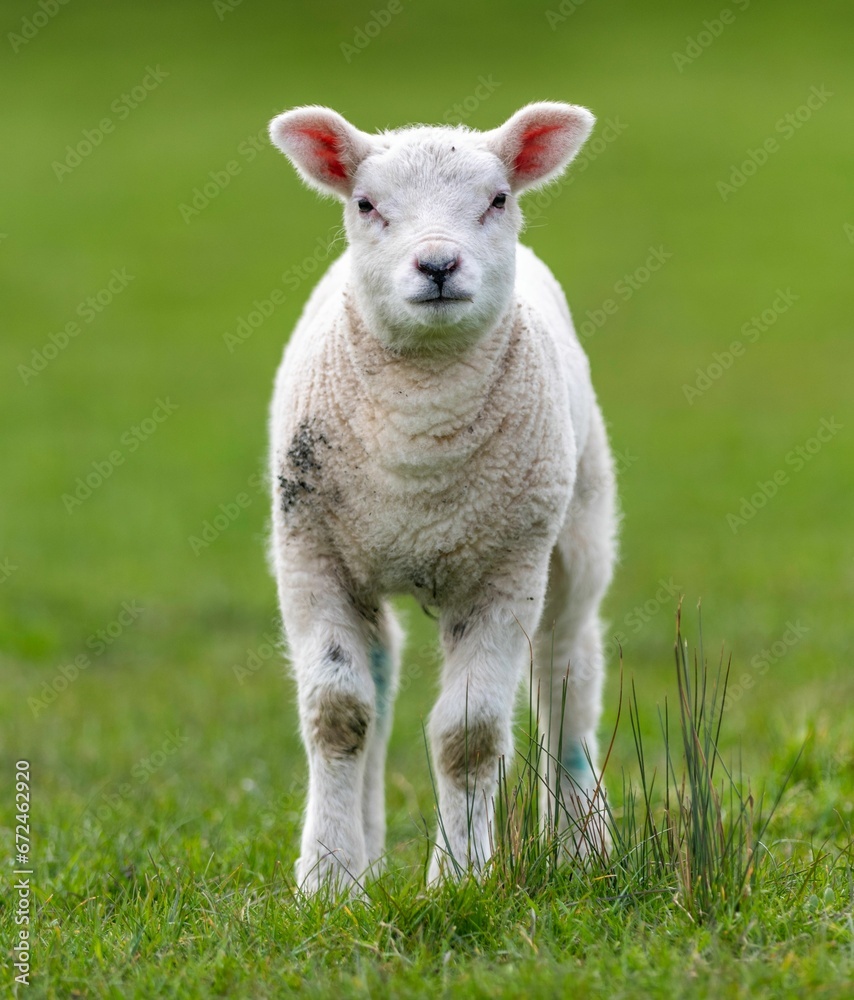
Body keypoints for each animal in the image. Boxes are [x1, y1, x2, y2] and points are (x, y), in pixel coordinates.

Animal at [268, 101, 616, 896]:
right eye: (366, 204)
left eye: (498, 199)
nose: (437, 266)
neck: (417, 460)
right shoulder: (309, 555)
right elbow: (339, 713)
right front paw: (328, 881)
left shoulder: (505, 567)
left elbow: (470, 736)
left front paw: (459, 878)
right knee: (381, 672)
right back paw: (366, 854)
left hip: (577, 531)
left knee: (567, 676)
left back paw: (584, 846)